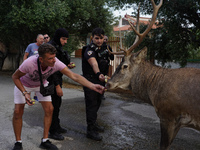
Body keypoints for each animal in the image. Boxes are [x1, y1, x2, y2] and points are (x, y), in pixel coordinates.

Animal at [107, 0, 200, 150]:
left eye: (125, 66)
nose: (108, 83)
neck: (154, 92)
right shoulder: (178, 122)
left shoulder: (168, 114)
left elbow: (163, 146)